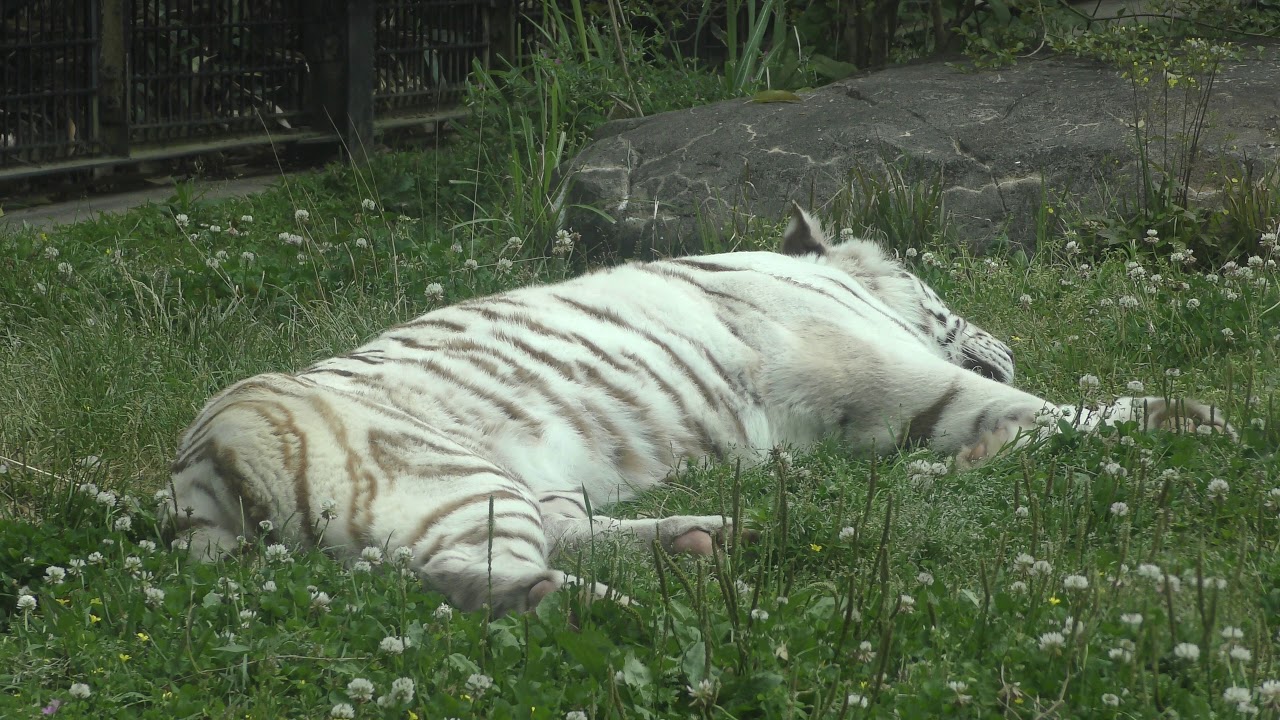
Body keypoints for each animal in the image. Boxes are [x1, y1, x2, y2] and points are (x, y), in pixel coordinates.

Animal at [166, 204, 1231, 615]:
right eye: (944, 295)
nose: (1006, 334)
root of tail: (200, 478)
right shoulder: (891, 373)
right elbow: (1031, 407)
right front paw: (1189, 420)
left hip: (515, 483)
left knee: (562, 533)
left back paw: (707, 538)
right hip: (446, 480)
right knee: (472, 577)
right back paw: (621, 611)